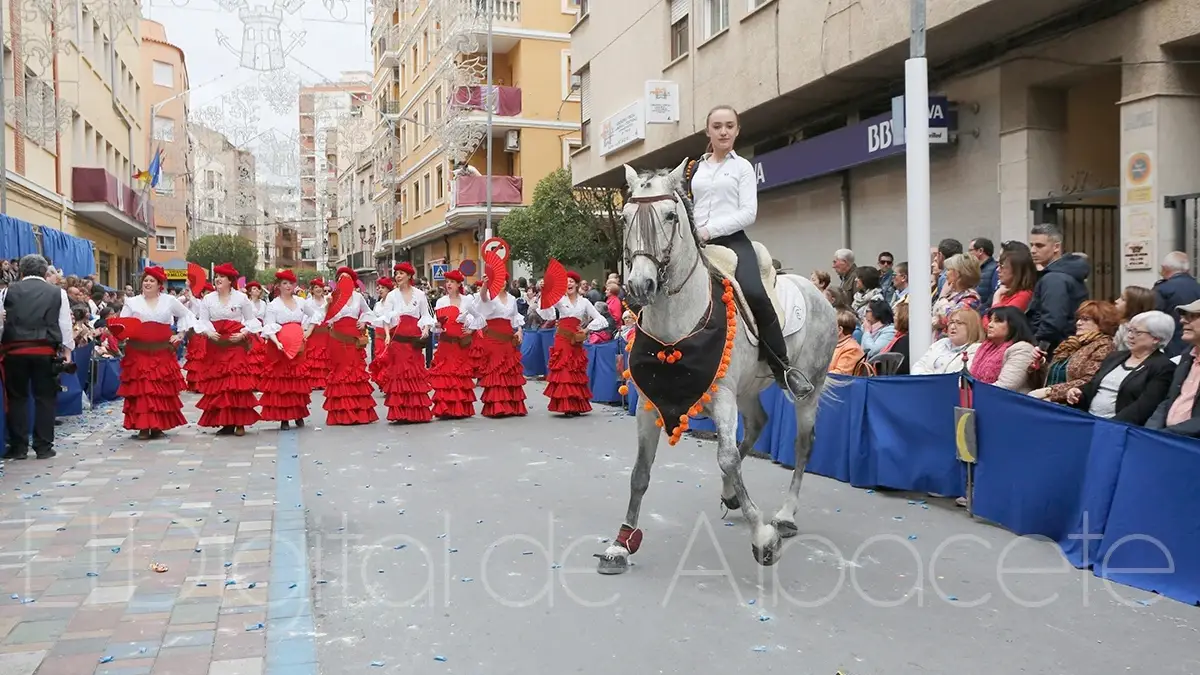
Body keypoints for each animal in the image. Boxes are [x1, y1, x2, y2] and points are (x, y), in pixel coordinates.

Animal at [595, 158, 840, 571]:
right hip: (748, 389)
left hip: (807, 389)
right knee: (758, 424)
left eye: (670, 215)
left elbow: (726, 458)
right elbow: (640, 472)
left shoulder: (722, 397)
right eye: (626, 216)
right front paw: (621, 543)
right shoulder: (649, 403)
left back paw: (784, 516)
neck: (677, 325)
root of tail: (819, 293)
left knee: (803, 444)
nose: (640, 286)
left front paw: (764, 537)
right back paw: (732, 495)